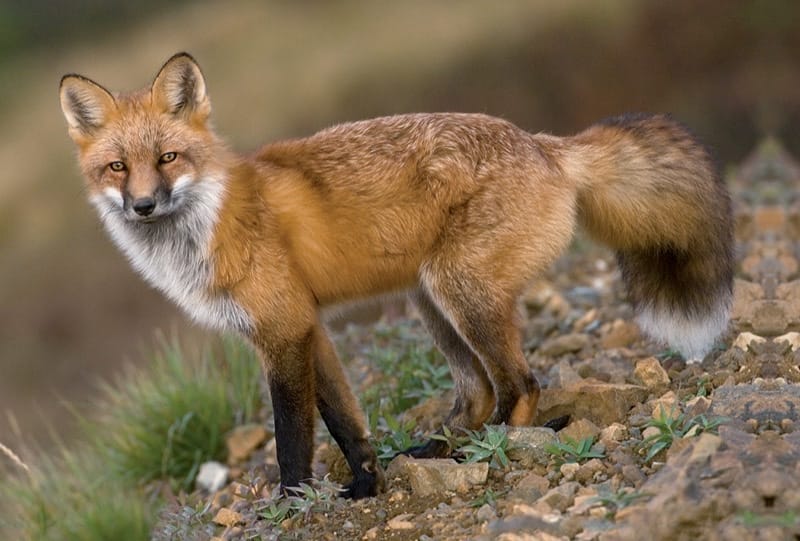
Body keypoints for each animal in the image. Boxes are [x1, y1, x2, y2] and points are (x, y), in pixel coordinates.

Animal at [59, 52, 733, 499]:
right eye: (118, 168)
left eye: (168, 158)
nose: (143, 205)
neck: (209, 224)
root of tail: (546, 144)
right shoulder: (309, 328)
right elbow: (344, 423)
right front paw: (364, 486)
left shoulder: (282, 330)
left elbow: (292, 434)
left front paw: (293, 503)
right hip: (430, 302)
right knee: (477, 393)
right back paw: (443, 450)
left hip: (459, 291)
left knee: (520, 384)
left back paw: (493, 451)